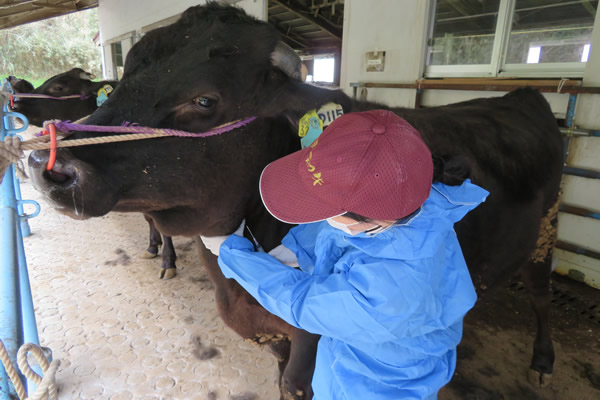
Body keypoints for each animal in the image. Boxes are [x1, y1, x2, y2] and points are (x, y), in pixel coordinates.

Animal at [28, 3, 564, 400]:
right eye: (122, 80)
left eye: (205, 100)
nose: (47, 164)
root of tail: (519, 95)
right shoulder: (276, 336)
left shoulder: (314, 343)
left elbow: (295, 383)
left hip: (546, 238)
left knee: (541, 296)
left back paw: (542, 361)